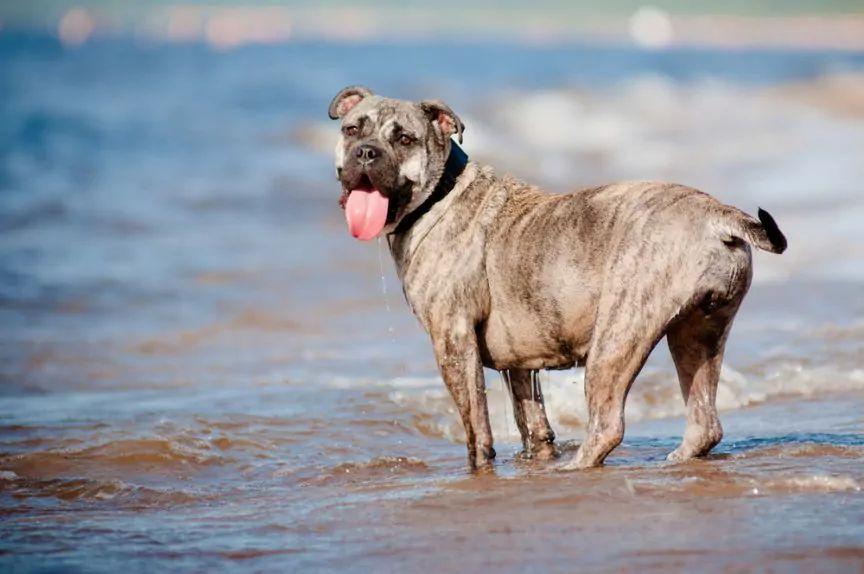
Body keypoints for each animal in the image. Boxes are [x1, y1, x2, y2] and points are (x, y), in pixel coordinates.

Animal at [328, 86, 788, 472]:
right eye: (352, 129)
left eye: (404, 139)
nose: (366, 153)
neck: (440, 194)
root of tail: (715, 215)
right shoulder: (518, 364)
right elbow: (532, 422)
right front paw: (538, 456)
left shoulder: (453, 342)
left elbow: (477, 429)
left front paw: (481, 469)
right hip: (700, 333)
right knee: (704, 420)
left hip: (616, 337)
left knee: (607, 424)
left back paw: (576, 468)